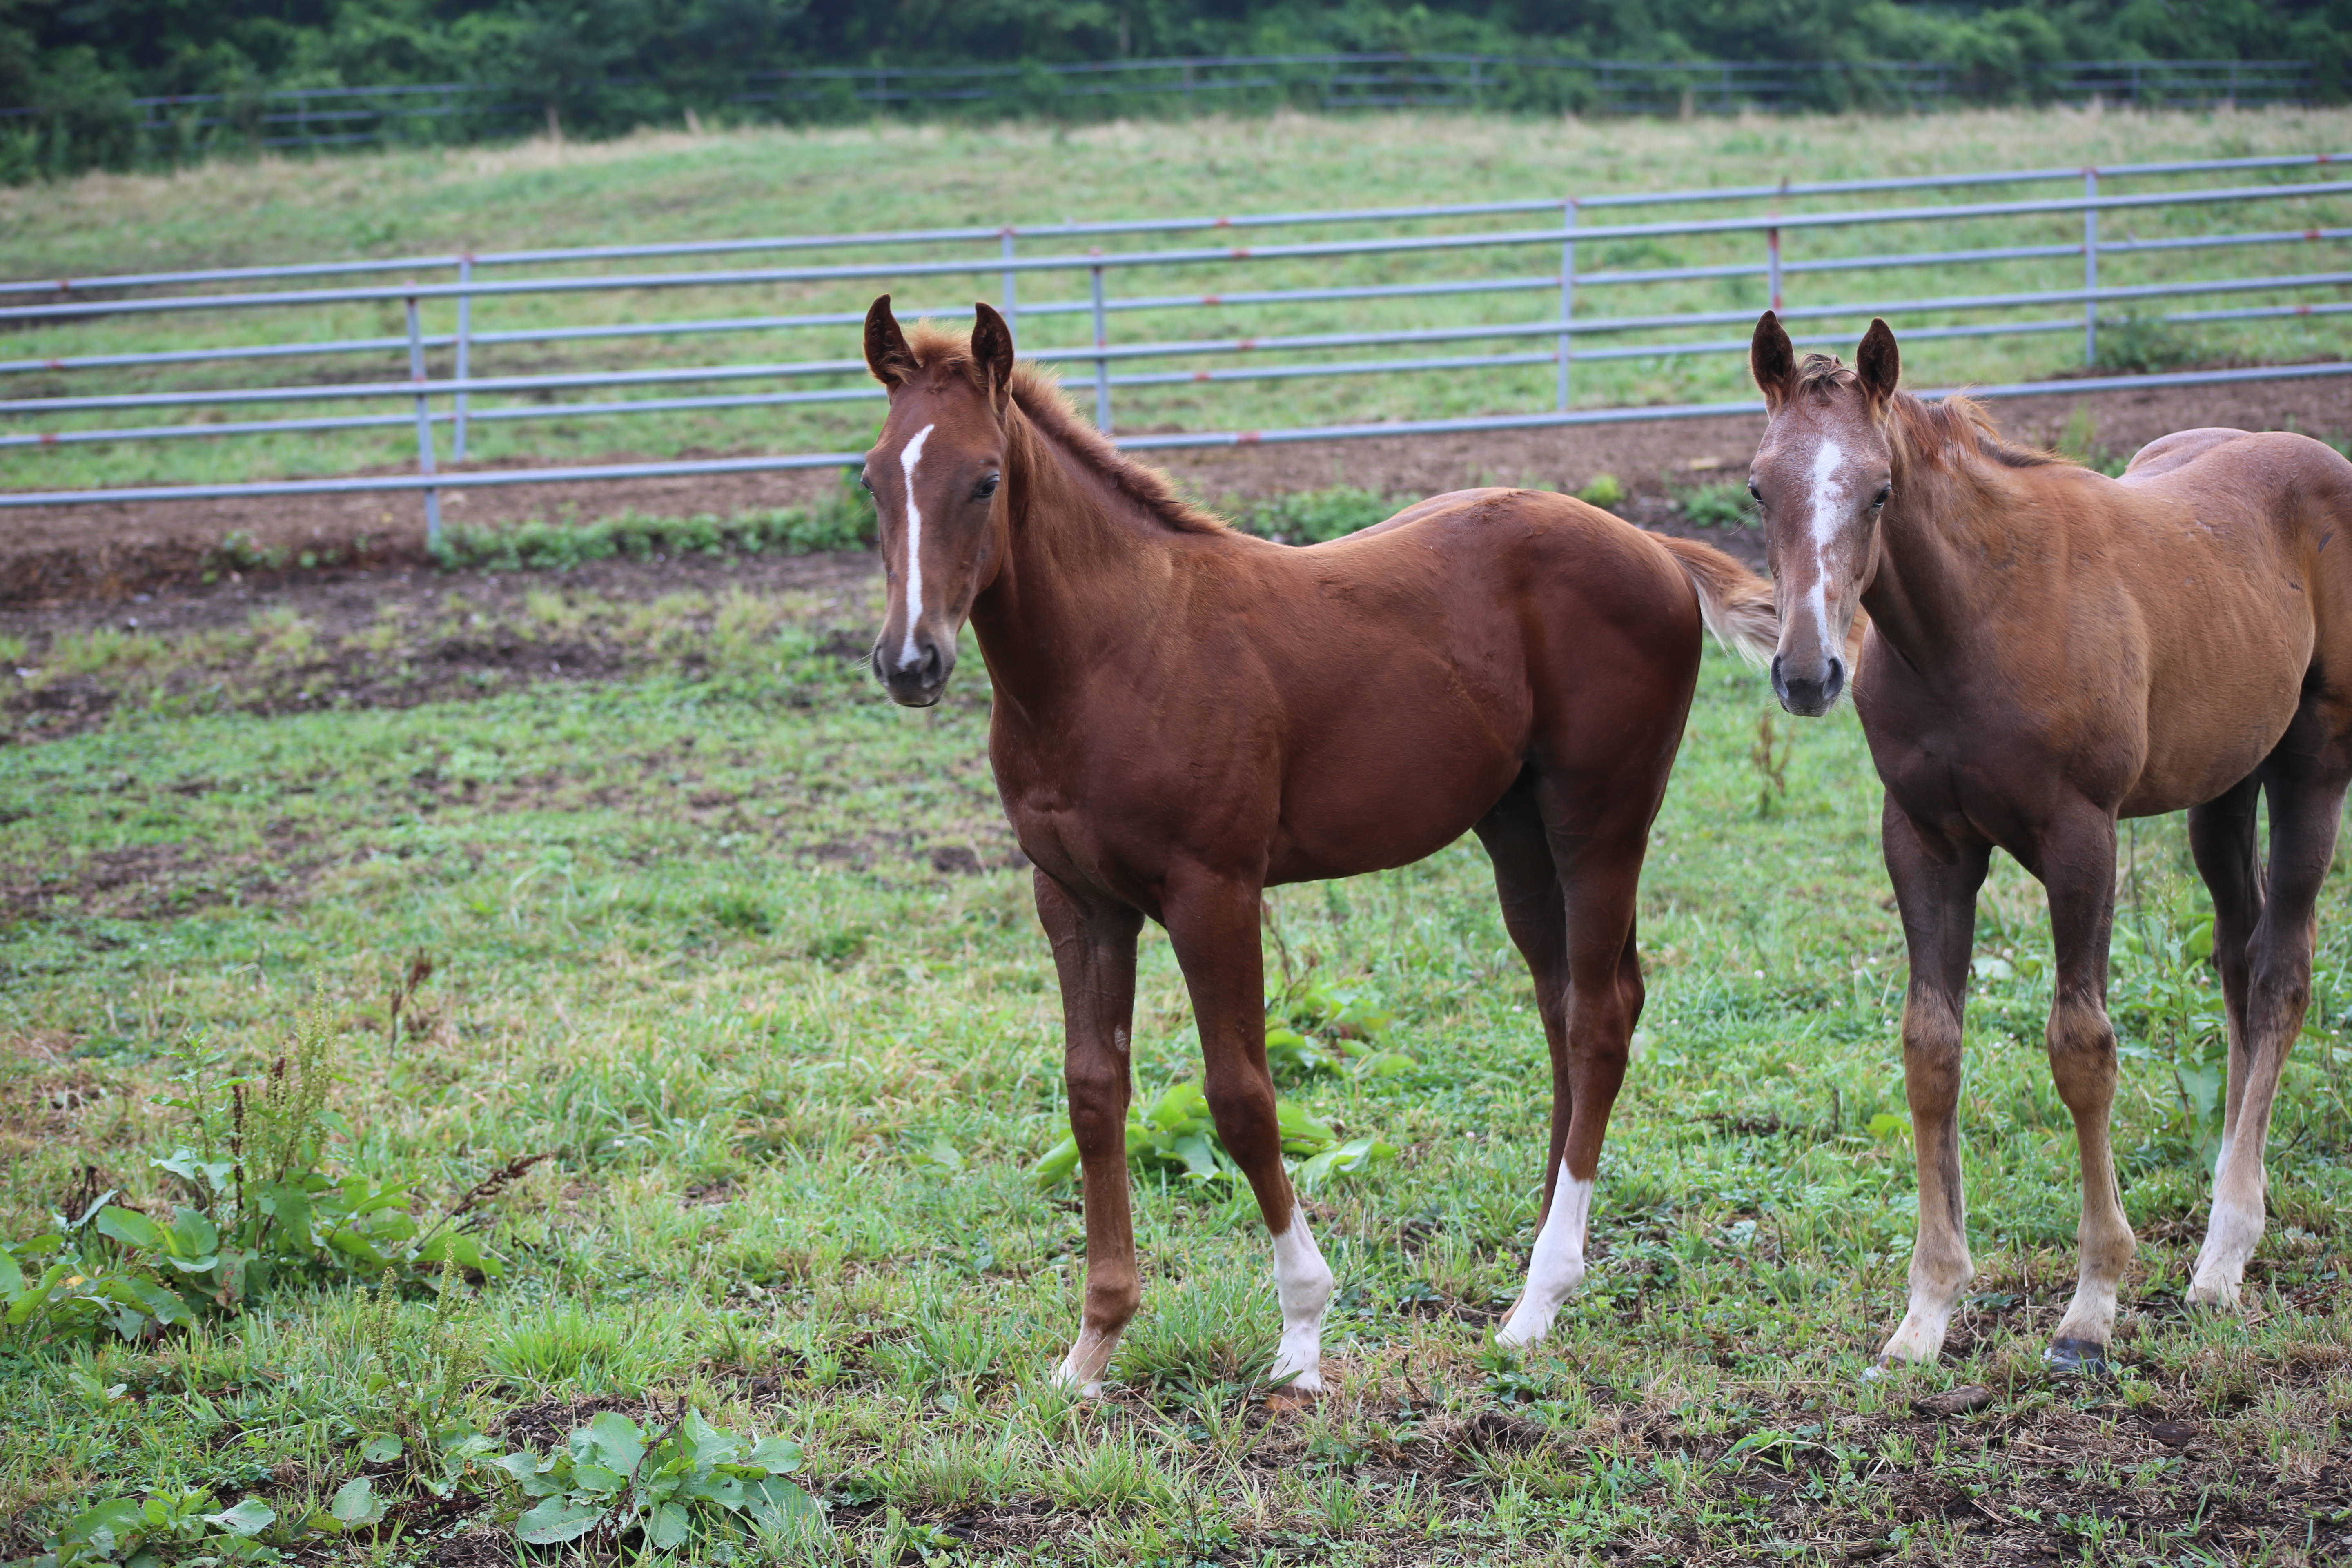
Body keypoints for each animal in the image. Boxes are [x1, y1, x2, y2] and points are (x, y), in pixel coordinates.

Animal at [856, 297, 1768, 1401]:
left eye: (985, 478)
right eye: (871, 476)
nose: (909, 662)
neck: (1118, 650)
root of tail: (1650, 544)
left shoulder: (1213, 891)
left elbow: (1241, 1097)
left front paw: (1302, 1331)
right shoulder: (1074, 898)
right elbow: (1093, 1094)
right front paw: (1092, 1345)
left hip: (1601, 819)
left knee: (1598, 1016)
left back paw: (1538, 1301)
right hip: (1514, 833)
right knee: (1565, 1005)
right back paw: (1541, 1263)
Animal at [1750, 312, 2352, 1363]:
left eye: (1879, 489)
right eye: (1756, 487)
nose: (1807, 673)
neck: (1975, 620)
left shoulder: (2081, 840)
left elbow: (2081, 1048)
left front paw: (2091, 1306)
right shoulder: (1923, 840)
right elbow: (1929, 1049)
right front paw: (1925, 1312)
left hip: (2313, 763)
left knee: (2280, 974)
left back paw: (2223, 1254)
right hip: (2220, 788)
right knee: (2238, 964)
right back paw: (2231, 1209)